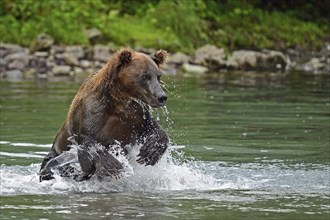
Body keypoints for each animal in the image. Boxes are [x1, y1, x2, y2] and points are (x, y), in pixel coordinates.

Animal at [39, 47, 170, 181]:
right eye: (145, 76)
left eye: (158, 76)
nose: (161, 97)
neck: (118, 102)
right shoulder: (92, 112)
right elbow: (88, 140)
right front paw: (112, 165)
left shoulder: (136, 115)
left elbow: (152, 127)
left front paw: (151, 151)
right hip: (54, 156)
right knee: (55, 164)